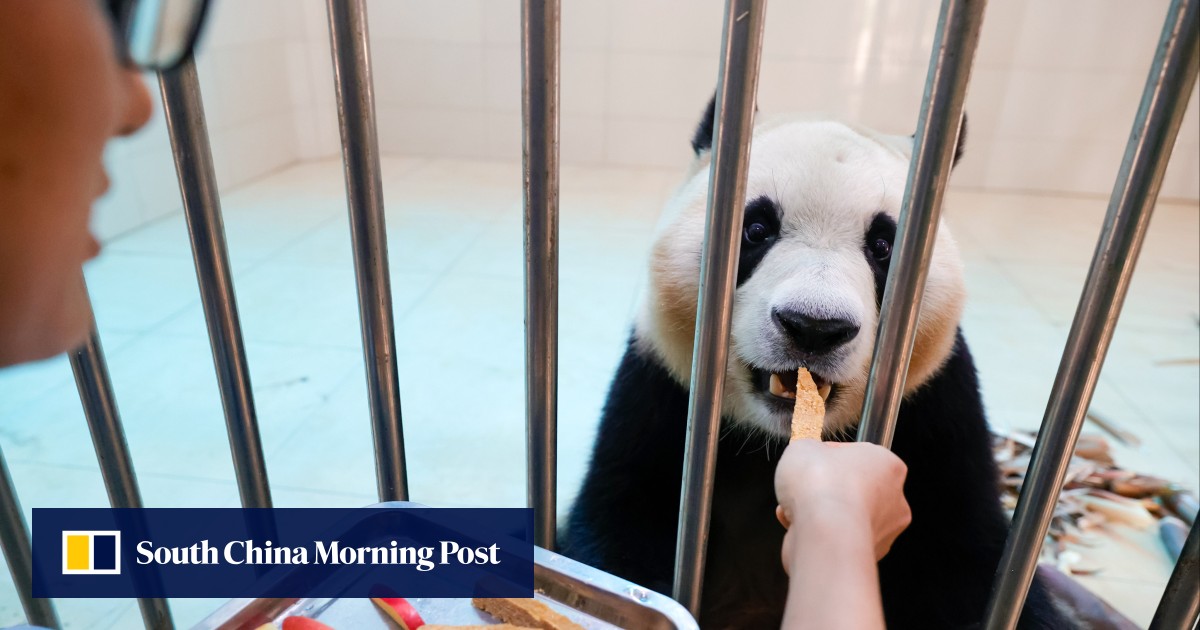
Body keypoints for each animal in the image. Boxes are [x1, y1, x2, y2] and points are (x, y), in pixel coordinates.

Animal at [561, 100, 1080, 624]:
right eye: (756, 229)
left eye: (883, 246)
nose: (814, 327)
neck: (773, 441)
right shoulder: (658, 384)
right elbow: (618, 522)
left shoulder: (937, 410)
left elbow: (966, 562)